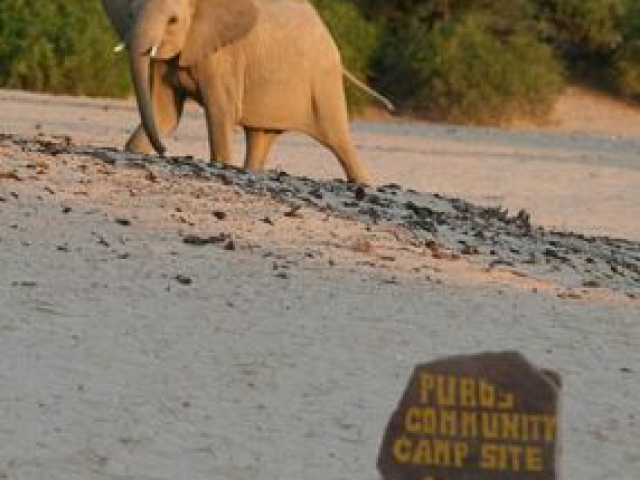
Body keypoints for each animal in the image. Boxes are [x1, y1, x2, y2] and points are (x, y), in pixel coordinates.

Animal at [100, 0, 392, 184]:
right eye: (130, 15)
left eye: (173, 20)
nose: (164, 150)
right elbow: (165, 115)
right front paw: (134, 151)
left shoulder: (224, 55)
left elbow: (220, 112)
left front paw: (219, 163)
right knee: (260, 137)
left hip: (323, 80)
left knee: (338, 139)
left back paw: (364, 184)